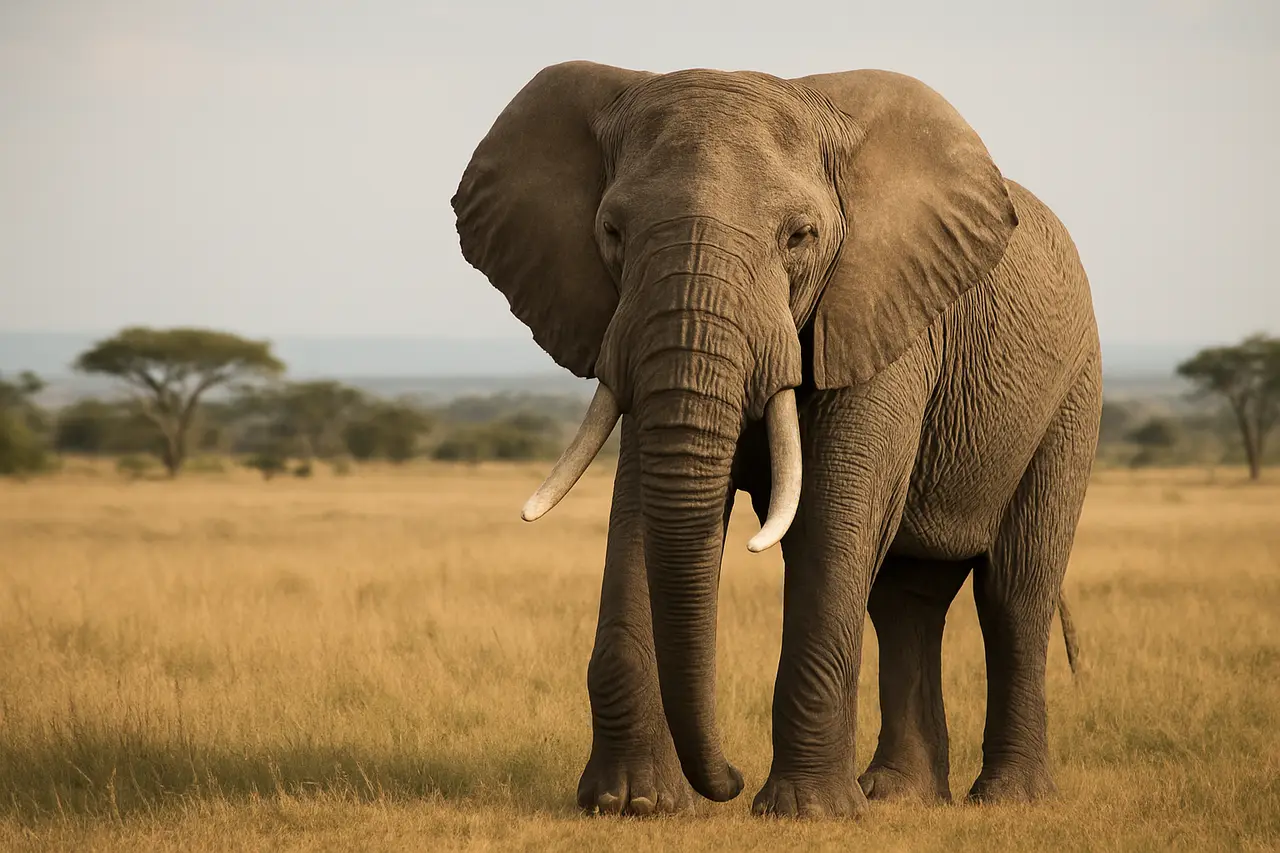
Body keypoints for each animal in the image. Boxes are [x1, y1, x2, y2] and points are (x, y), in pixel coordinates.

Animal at [451, 61, 1101, 818]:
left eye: (801, 236)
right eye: (612, 231)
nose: (726, 781)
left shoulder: (881, 314)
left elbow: (830, 523)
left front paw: (807, 812)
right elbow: (639, 509)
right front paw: (632, 804)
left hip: (1071, 395)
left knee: (1014, 592)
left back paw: (1008, 801)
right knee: (904, 600)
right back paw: (900, 796)